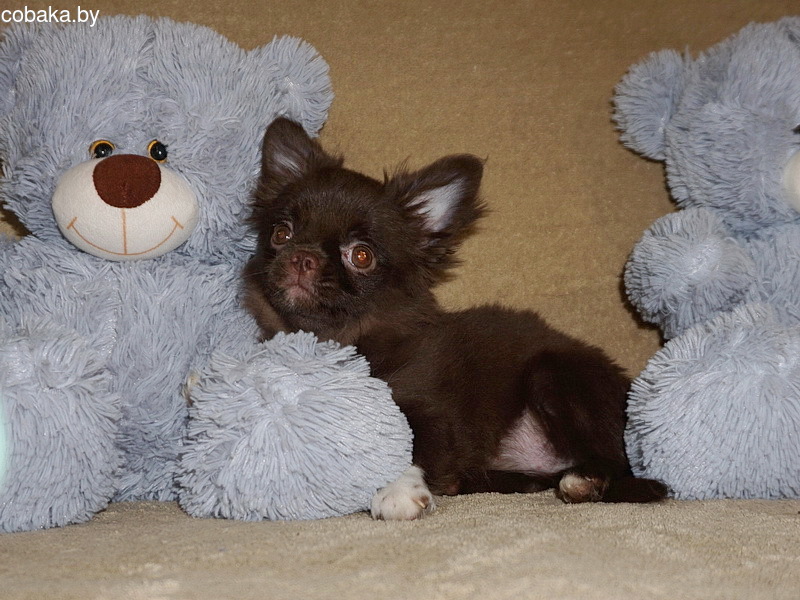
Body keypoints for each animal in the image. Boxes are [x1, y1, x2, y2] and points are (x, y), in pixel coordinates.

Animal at [243, 118, 668, 520]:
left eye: (361, 256)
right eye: (281, 234)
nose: (302, 257)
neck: (336, 339)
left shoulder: (431, 414)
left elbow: (404, 443)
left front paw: (397, 492)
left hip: (554, 373)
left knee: (618, 463)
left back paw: (584, 482)